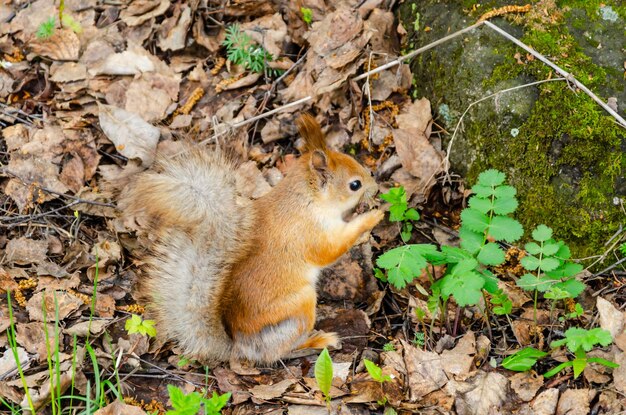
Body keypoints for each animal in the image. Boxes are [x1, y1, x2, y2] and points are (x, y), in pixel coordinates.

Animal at [116, 114, 380, 364]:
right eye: (354, 185)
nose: (376, 188)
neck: (305, 200)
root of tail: (240, 347)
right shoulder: (309, 233)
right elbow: (330, 250)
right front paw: (371, 217)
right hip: (300, 307)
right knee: (280, 353)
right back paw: (317, 341)